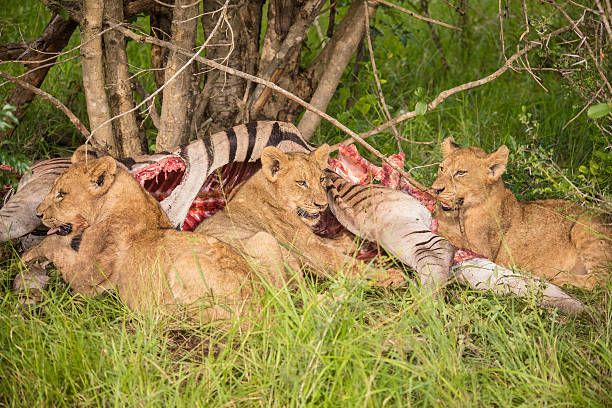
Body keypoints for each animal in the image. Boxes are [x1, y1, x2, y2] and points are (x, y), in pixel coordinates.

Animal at [20, 148, 284, 324]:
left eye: (61, 194)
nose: (37, 214)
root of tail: (266, 314)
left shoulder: (88, 279)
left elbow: (54, 244)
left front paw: (26, 258)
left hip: (185, 265)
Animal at [430, 137, 612, 286]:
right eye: (441, 168)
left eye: (460, 172)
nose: (435, 189)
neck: (460, 214)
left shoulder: (482, 250)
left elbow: (449, 237)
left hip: (585, 226)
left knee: (601, 282)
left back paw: (554, 277)